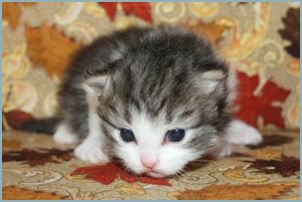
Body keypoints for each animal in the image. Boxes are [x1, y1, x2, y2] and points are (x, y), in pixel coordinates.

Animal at [23, 25, 262, 178]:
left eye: (176, 134)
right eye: (126, 135)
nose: (149, 163)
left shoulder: (228, 82)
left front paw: (221, 140)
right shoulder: (93, 84)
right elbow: (94, 112)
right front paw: (94, 144)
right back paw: (65, 132)